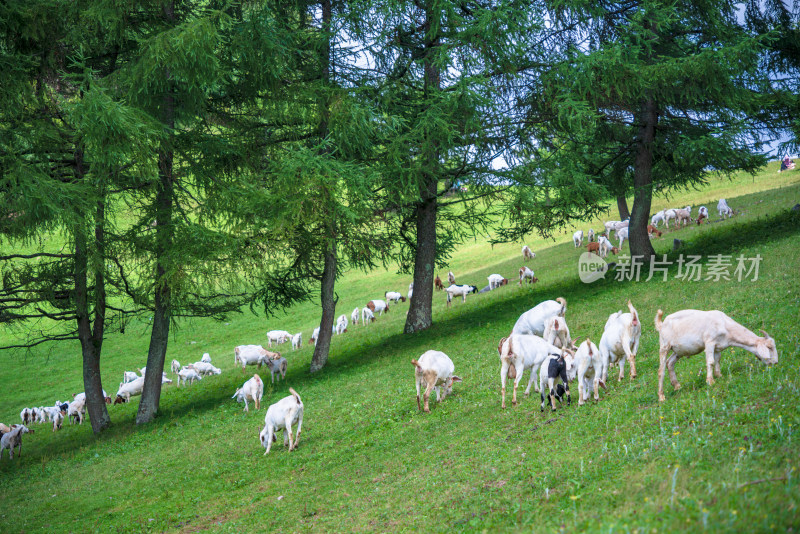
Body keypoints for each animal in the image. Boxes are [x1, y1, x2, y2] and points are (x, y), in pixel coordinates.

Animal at [652, 308, 780, 404]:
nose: (775, 362)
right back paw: (661, 396)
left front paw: (719, 375)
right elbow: (711, 362)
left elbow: (718, 359)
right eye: (769, 347)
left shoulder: (718, 346)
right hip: (664, 346)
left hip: (678, 351)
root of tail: (662, 324)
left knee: (670, 363)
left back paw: (677, 386)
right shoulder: (709, 342)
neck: (724, 325)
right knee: (661, 370)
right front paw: (710, 381)